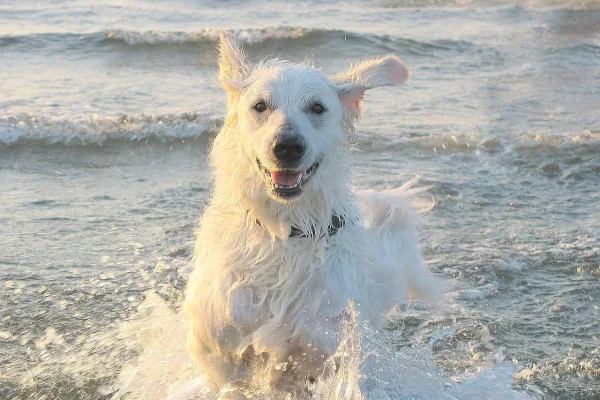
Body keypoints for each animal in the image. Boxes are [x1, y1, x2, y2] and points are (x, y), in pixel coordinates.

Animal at [184, 32, 440, 400]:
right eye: (260, 106)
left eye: (317, 108)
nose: (287, 147)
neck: (285, 228)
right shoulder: (218, 342)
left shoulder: (319, 347)